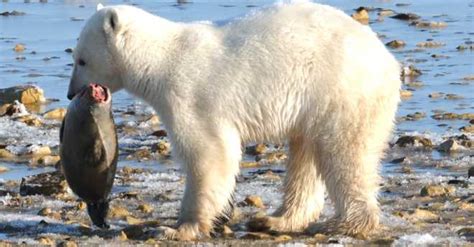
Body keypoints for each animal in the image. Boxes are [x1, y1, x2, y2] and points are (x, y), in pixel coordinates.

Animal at [66, 0, 400, 240]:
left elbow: (210, 153)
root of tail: (389, 62)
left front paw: (177, 228)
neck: (160, 58)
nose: (71, 93)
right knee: (305, 154)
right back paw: (275, 220)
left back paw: (343, 224)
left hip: (339, 91)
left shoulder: (189, 95)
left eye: (81, 60)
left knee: (344, 153)